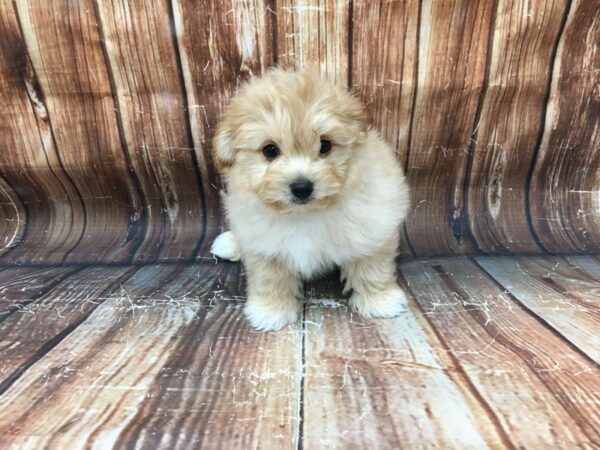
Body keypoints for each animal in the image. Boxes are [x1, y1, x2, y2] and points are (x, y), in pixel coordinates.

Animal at [209, 70, 410, 330]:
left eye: (325, 145)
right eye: (270, 150)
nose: (302, 187)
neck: (304, 214)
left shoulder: (374, 222)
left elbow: (372, 267)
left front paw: (380, 300)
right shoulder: (263, 243)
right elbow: (270, 278)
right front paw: (271, 310)